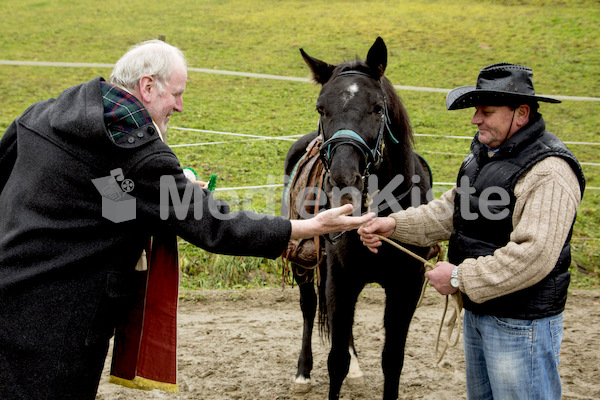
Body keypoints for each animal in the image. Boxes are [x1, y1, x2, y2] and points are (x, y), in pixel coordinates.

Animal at [282, 37, 436, 400]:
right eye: (321, 108)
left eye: (377, 108)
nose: (342, 179)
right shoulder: (342, 279)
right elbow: (335, 359)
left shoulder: (406, 286)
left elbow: (392, 359)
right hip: (304, 263)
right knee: (309, 306)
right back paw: (303, 371)